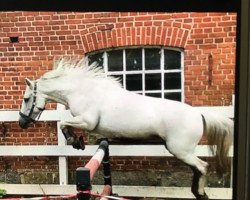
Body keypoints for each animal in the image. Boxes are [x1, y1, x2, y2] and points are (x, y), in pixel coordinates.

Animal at [19, 57, 232, 199]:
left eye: (26, 98)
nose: (22, 122)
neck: (83, 91)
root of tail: (199, 114)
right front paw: (77, 141)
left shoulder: (88, 122)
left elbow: (64, 124)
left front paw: (75, 142)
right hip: (181, 151)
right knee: (199, 169)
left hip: (180, 151)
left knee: (202, 167)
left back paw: (200, 193)